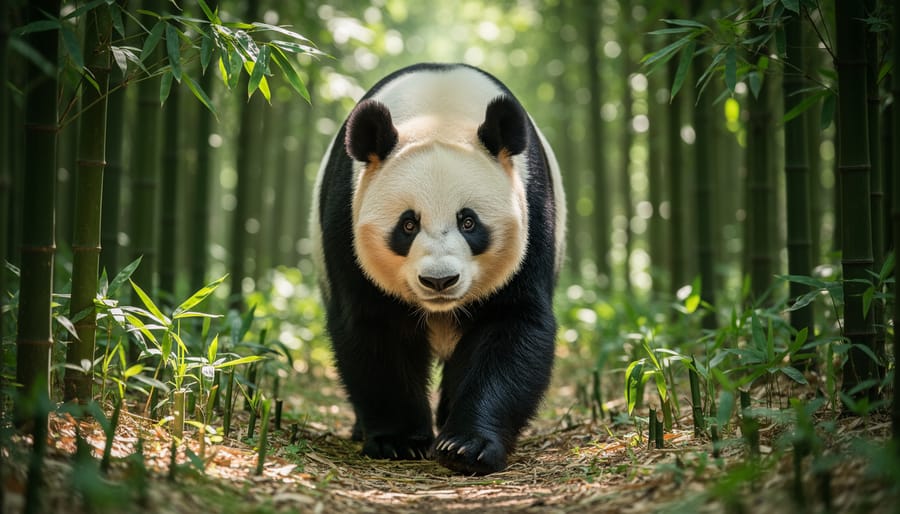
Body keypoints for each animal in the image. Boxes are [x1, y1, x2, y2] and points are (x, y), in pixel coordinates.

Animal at [311, 63, 566, 475]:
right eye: (408, 224)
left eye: (468, 222)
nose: (439, 280)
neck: (439, 113)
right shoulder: (345, 222)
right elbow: (374, 329)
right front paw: (398, 440)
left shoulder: (533, 217)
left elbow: (512, 324)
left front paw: (467, 445)